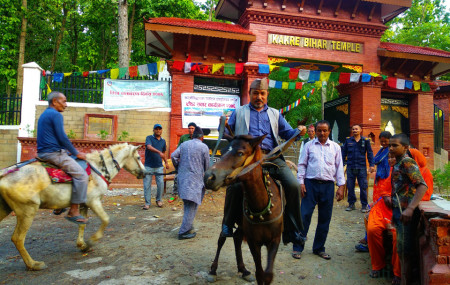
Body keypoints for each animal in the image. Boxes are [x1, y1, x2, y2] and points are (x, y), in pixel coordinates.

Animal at [0, 143, 145, 270]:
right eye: (138, 157)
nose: (145, 172)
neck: (98, 169)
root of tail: (3, 176)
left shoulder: (83, 204)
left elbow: (82, 224)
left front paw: (82, 245)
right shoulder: (93, 201)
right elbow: (105, 220)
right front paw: (91, 241)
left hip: (5, 209)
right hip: (27, 210)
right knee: (18, 238)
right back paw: (33, 264)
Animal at [205, 135, 284, 284]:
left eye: (240, 153)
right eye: (222, 151)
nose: (208, 177)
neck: (261, 205)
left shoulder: (275, 240)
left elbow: (268, 275)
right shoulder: (254, 243)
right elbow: (259, 273)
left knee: (237, 238)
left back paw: (243, 270)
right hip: (227, 217)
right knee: (222, 239)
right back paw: (213, 271)